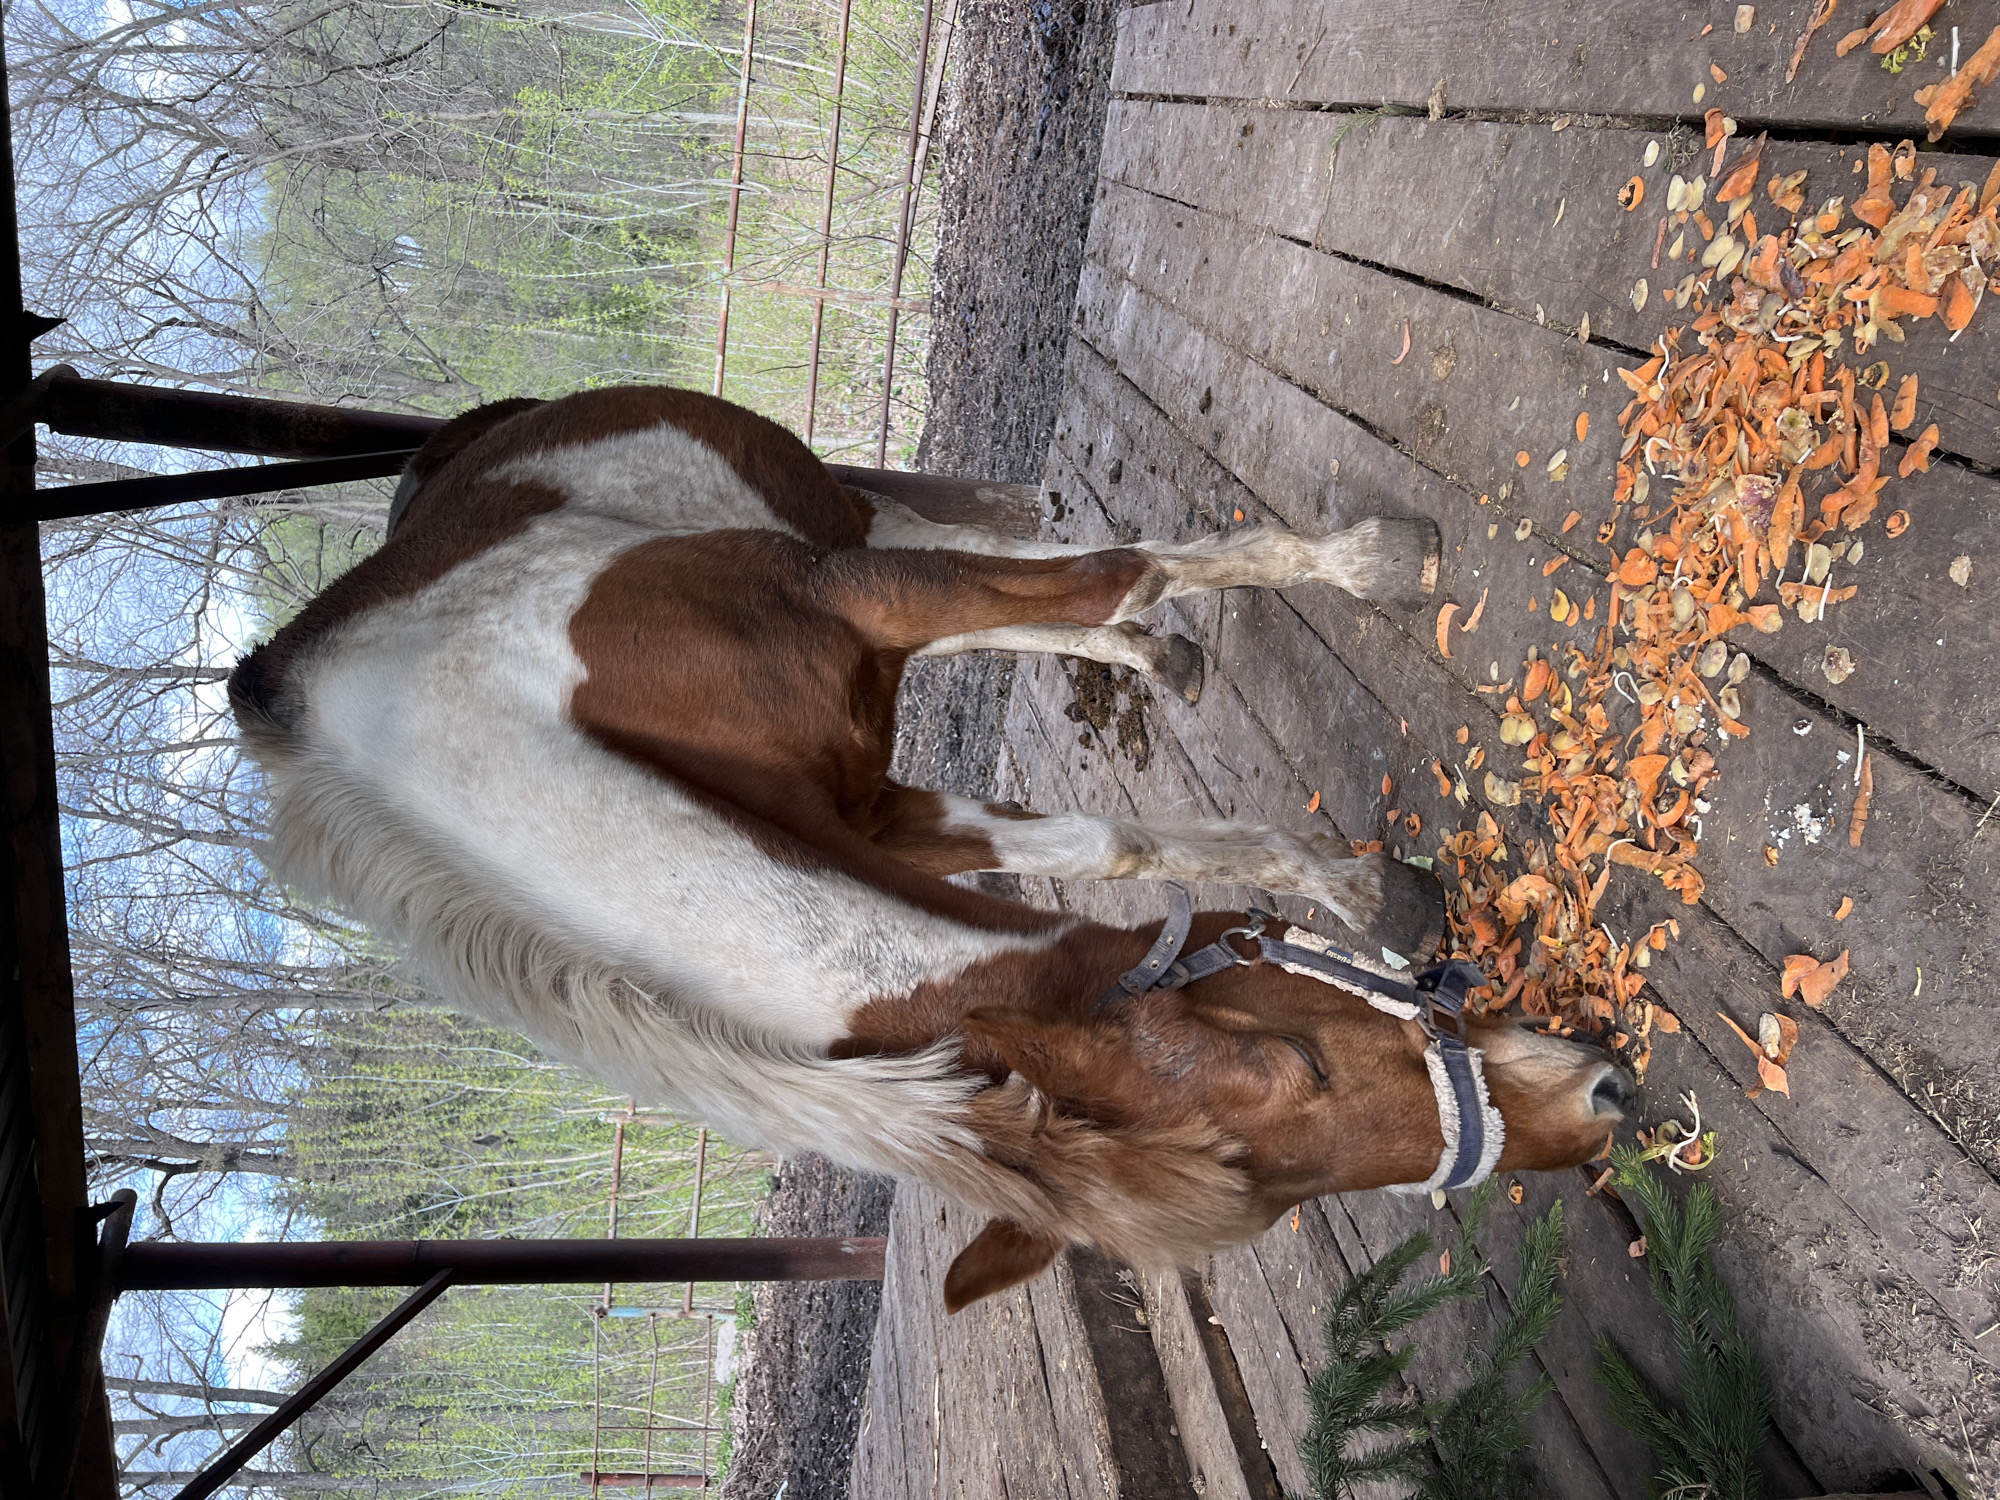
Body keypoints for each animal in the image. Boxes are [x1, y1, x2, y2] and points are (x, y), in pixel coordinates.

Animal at [229, 386, 1633, 1310]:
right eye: (1293, 1077)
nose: (1593, 1108)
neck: (518, 748)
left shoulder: (838, 608)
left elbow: (1114, 569)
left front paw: (1360, 573)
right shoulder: (883, 817)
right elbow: (1103, 833)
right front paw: (1358, 883)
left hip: (833, 524)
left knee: (1016, 564)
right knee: (1010, 590)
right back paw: (1156, 657)